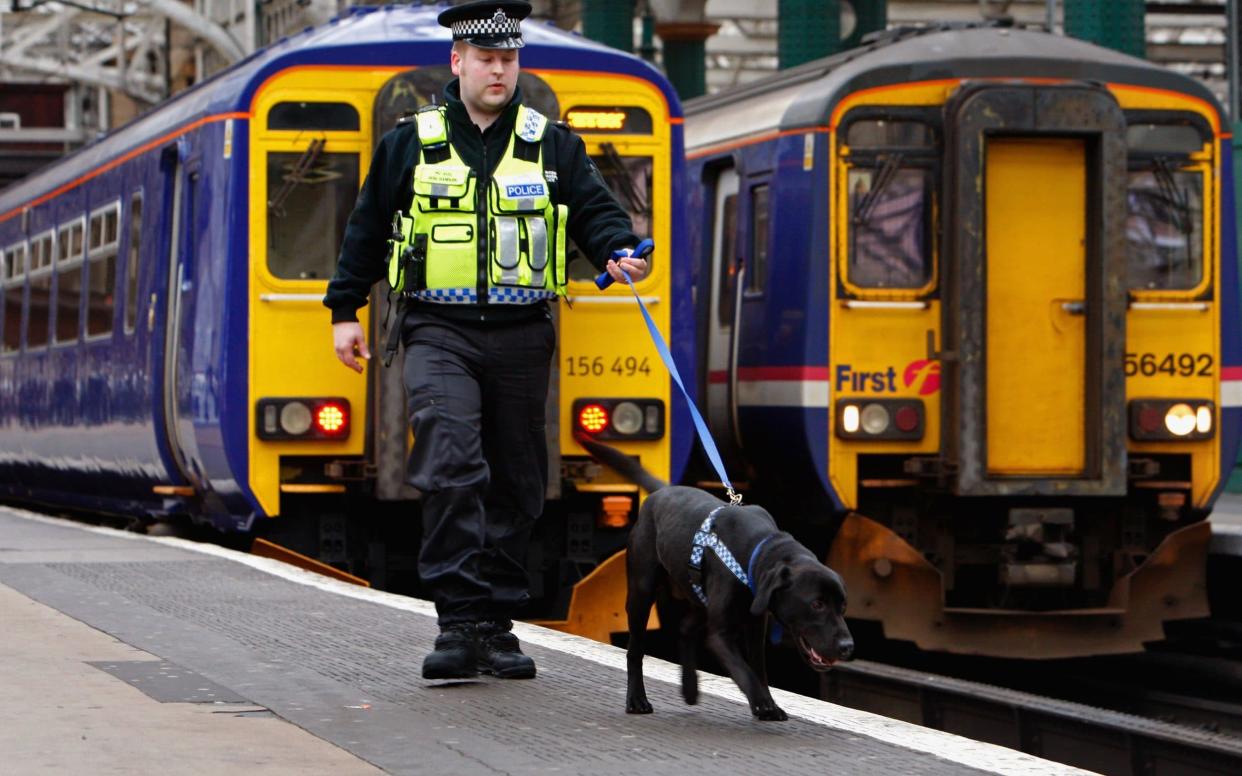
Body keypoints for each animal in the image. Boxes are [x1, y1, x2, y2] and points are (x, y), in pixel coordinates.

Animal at [578, 437, 854, 720]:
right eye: (817, 604)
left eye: (843, 606)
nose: (847, 646)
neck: (757, 552)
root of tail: (661, 492)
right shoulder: (720, 634)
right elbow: (744, 671)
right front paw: (761, 702)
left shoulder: (756, 623)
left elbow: (758, 667)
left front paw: (768, 702)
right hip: (641, 592)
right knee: (635, 650)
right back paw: (636, 699)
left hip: (699, 598)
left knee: (685, 628)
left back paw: (689, 687)